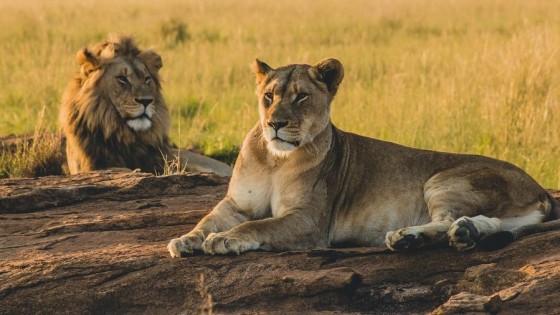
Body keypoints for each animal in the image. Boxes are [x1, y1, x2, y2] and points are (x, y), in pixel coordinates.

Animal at [167, 58, 560, 258]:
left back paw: (407, 237)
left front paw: (224, 240)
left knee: (448, 219)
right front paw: (185, 240)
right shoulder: (237, 203)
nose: (275, 124)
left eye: (301, 97)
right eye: (269, 96)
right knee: (486, 223)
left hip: (443, 179)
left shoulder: (309, 221)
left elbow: (258, 226)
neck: (275, 160)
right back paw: (462, 233)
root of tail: (541, 189)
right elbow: (208, 219)